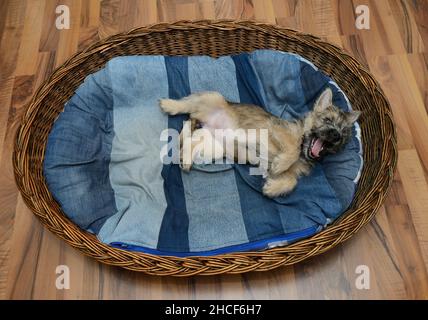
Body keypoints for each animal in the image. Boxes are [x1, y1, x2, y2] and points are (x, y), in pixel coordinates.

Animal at [159, 88, 360, 198]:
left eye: (342, 134)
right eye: (327, 120)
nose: (335, 134)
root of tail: (206, 122)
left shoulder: (293, 172)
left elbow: (292, 180)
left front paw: (273, 187)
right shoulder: (277, 131)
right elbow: (292, 150)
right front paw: (280, 165)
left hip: (212, 145)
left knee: (189, 142)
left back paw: (185, 160)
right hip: (212, 98)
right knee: (188, 105)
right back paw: (169, 104)